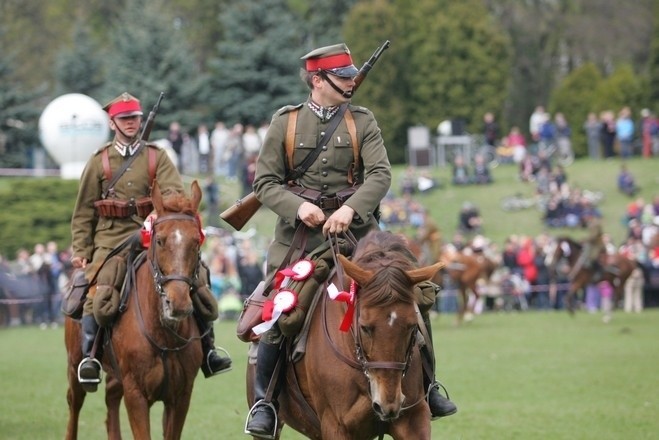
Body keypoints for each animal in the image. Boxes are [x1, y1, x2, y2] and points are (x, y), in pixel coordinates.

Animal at [65, 180, 204, 440]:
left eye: (196, 241)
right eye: (159, 240)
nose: (178, 304)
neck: (164, 335)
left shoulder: (181, 396)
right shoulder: (136, 394)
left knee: (110, 399)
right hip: (74, 366)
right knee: (74, 404)